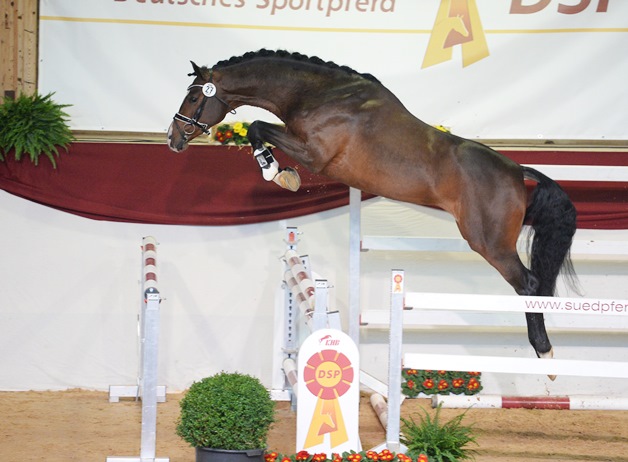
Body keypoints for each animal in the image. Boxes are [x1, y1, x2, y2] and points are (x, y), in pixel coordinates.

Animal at [168, 49, 580, 368]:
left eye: (194, 99)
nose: (173, 140)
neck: (321, 94)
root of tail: (516, 170)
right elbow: (258, 128)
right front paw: (282, 173)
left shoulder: (315, 154)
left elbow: (256, 126)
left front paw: (277, 172)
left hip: (489, 242)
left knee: (529, 284)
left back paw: (545, 354)